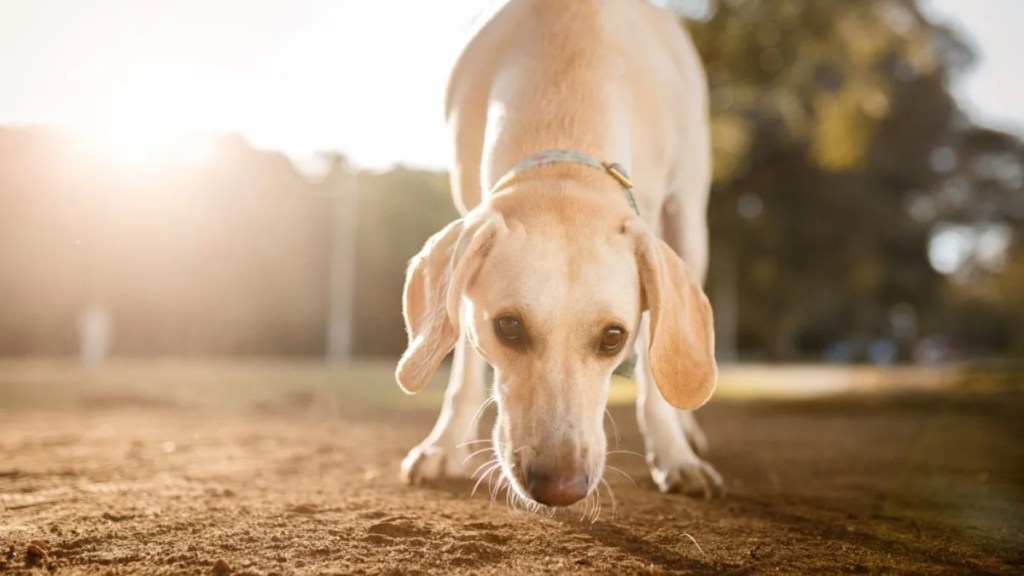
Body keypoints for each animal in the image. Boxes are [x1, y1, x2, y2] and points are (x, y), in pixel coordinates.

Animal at [391, 0, 720, 502]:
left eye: (613, 337)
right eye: (508, 327)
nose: (560, 488)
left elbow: (655, 371)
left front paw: (674, 454)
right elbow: (463, 366)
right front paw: (443, 445)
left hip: (689, 218)